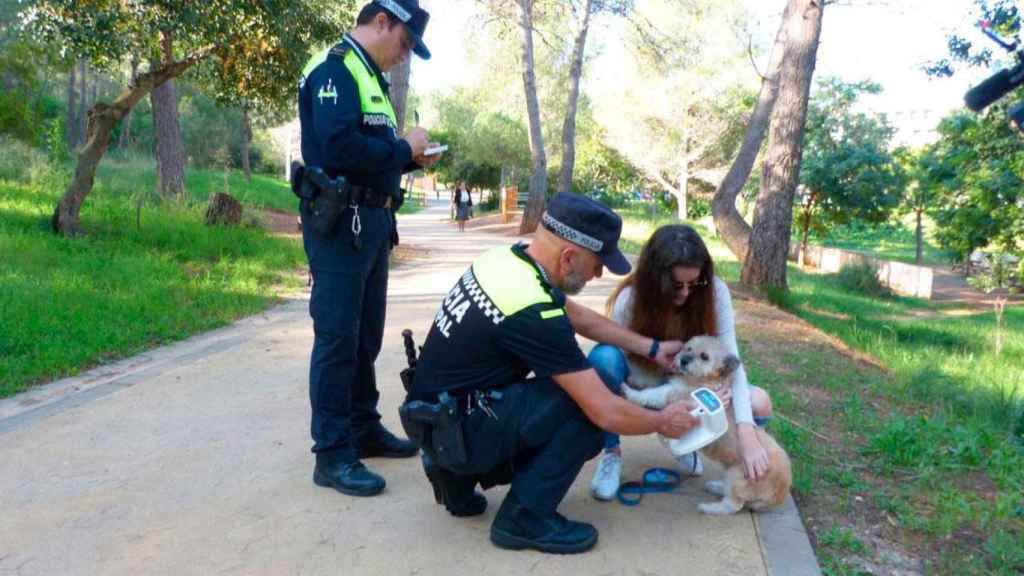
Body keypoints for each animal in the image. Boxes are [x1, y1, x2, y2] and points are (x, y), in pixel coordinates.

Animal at [614, 334, 790, 512]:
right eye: (688, 348)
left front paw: (629, 391)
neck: (702, 381)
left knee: (733, 505)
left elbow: (650, 394)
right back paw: (716, 487)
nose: (683, 360)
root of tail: (782, 490)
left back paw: (709, 507)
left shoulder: (673, 395)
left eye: (704, 356)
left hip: (737, 477)